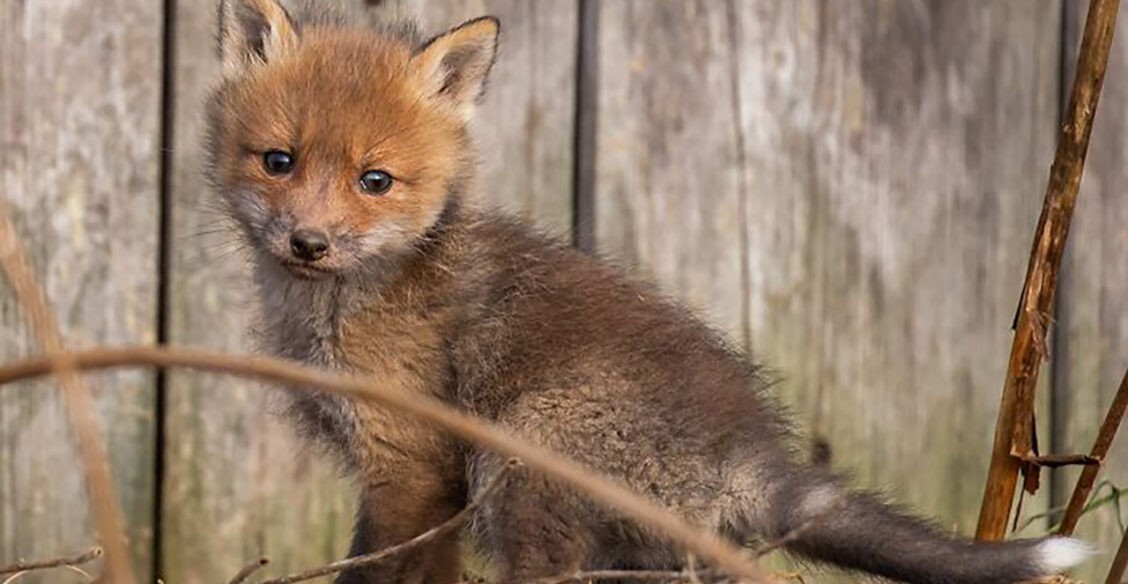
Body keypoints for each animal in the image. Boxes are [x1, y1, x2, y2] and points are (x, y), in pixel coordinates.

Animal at [205, 1, 1093, 583]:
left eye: (375, 180)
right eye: (279, 161)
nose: (308, 243)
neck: (348, 304)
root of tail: (747, 454)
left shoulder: (412, 459)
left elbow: (378, 569)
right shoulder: (405, 478)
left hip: (525, 459)